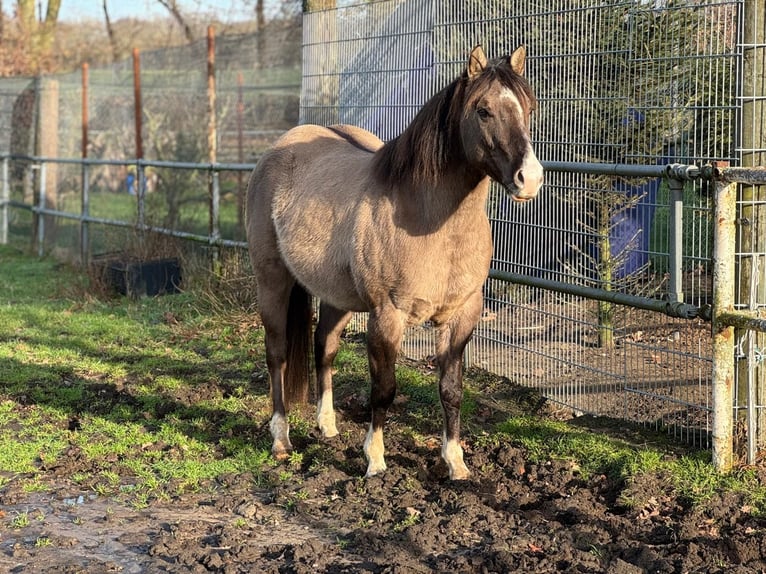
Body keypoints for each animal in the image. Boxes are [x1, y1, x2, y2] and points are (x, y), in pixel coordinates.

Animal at [246, 45, 543, 480]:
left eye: (530, 107)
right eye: (484, 110)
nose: (530, 178)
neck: (425, 218)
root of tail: (279, 148)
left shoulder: (463, 315)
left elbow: (451, 390)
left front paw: (455, 463)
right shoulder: (387, 316)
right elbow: (384, 389)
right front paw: (375, 460)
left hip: (337, 298)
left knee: (324, 348)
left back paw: (328, 427)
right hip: (273, 281)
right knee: (277, 353)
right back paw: (281, 440)